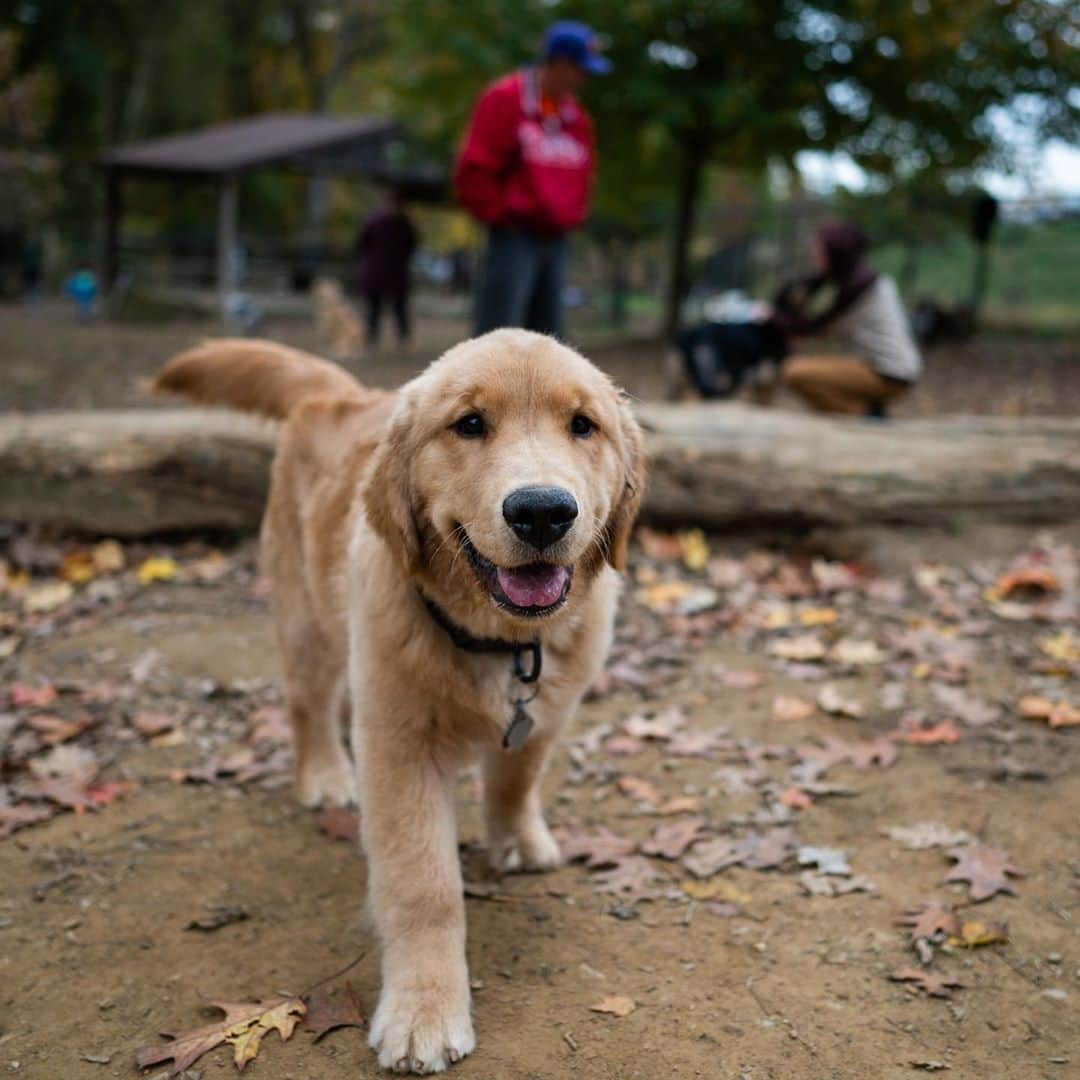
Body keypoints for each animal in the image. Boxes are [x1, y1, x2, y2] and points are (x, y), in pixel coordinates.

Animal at [151, 332, 639, 1075]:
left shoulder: (547, 710)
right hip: (306, 620)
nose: (542, 511)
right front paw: (424, 1013)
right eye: (469, 424)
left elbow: (517, 775)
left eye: (583, 425)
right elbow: (424, 886)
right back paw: (325, 774)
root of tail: (340, 394)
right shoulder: (399, 748)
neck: (497, 641)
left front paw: (518, 839)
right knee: (308, 704)